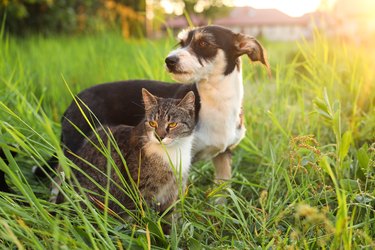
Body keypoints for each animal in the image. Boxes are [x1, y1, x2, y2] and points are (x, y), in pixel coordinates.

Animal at [36, 25, 270, 188]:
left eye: (204, 43)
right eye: (181, 42)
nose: (169, 60)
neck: (215, 101)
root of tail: (74, 100)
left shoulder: (224, 156)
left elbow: (221, 193)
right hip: (73, 149)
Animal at [61, 88, 195, 217]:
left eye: (172, 124)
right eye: (152, 123)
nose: (159, 137)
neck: (171, 152)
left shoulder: (173, 193)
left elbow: (168, 217)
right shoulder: (139, 193)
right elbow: (139, 219)